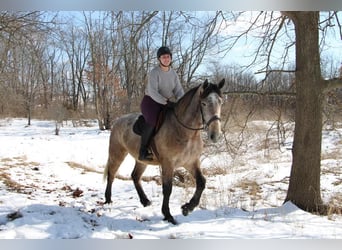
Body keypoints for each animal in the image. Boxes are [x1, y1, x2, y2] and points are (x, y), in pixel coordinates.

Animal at [103, 78, 226, 225]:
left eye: (221, 102)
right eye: (204, 103)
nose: (215, 135)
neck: (185, 131)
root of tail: (118, 121)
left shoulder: (191, 162)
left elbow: (201, 182)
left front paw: (187, 208)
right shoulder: (168, 163)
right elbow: (167, 188)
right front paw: (168, 215)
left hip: (141, 160)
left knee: (135, 176)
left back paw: (145, 201)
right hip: (117, 152)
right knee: (111, 174)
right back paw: (108, 199)